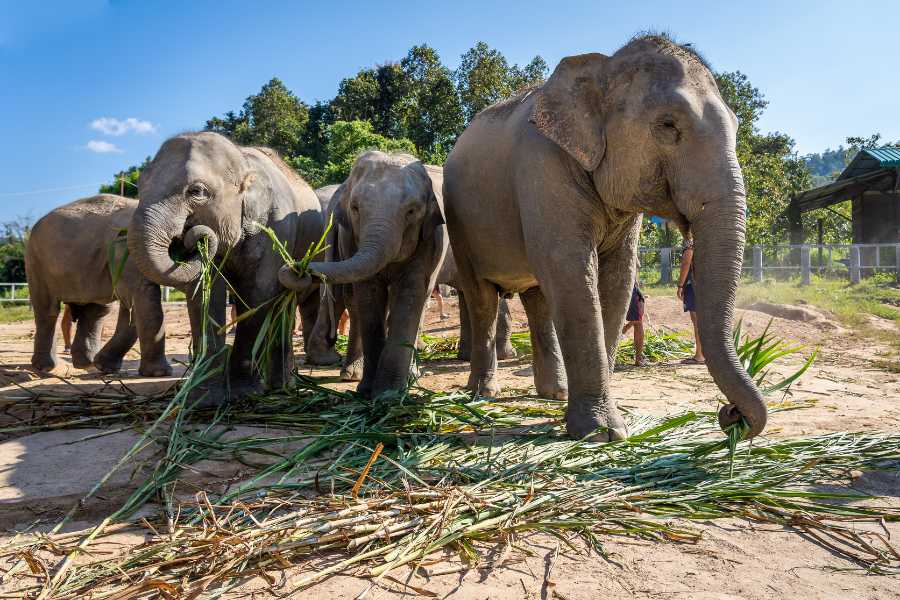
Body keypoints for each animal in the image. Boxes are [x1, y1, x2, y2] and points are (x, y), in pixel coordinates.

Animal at [25, 196, 172, 376]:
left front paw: (105, 367)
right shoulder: (130, 251)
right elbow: (141, 296)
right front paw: (159, 374)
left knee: (95, 310)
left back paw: (86, 363)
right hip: (36, 262)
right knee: (47, 310)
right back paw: (46, 367)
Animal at [126, 134, 324, 400]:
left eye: (197, 191)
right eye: (140, 185)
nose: (192, 237)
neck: (243, 162)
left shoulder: (277, 229)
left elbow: (259, 293)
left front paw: (242, 392)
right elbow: (204, 295)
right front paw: (203, 396)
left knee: (284, 306)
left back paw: (282, 388)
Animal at [282, 151, 446, 398]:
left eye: (412, 211)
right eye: (355, 208)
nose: (297, 268)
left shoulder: (428, 240)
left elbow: (410, 293)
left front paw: (388, 394)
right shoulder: (350, 238)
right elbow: (368, 292)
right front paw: (370, 391)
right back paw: (350, 373)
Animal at [442, 35, 768, 442]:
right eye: (668, 125)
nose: (730, 415)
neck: (603, 67)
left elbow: (617, 278)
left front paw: (608, 426)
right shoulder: (542, 167)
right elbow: (571, 269)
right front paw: (600, 433)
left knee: (538, 299)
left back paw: (554, 393)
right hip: (460, 225)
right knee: (482, 297)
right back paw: (482, 393)